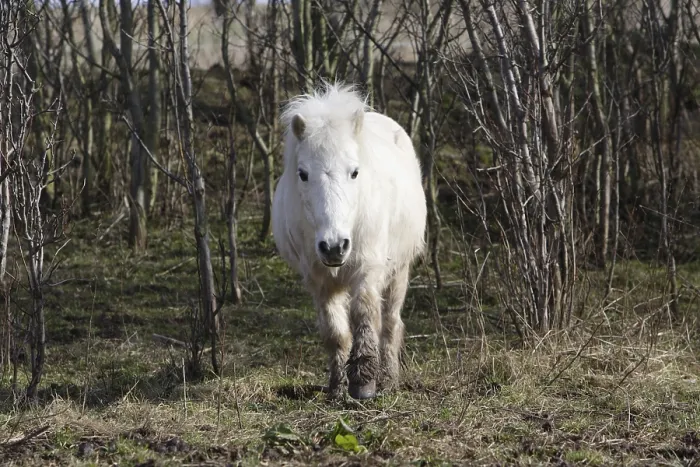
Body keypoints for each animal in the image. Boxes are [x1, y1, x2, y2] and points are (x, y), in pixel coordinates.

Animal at [271, 82, 427, 400]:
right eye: (303, 174)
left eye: (354, 172)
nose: (334, 246)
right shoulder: (319, 281)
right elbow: (336, 332)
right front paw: (338, 386)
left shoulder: (367, 271)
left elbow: (365, 316)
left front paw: (364, 383)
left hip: (399, 272)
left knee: (390, 323)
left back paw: (389, 378)